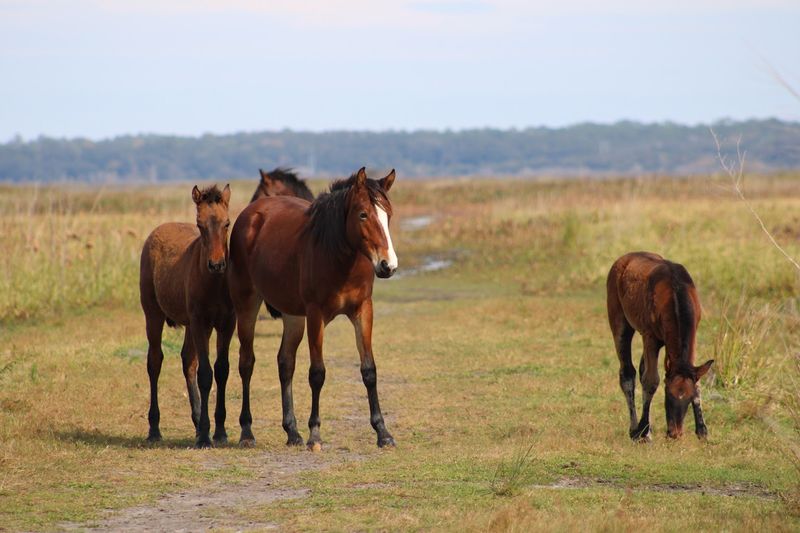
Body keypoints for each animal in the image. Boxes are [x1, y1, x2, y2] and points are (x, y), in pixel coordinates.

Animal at [139, 184, 235, 448]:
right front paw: (204, 437)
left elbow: (221, 370)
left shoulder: (226, 324)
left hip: (191, 326)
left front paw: (219, 432)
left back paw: (196, 420)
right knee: (155, 361)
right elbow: (206, 374)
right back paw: (154, 429)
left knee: (187, 361)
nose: (217, 264)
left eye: (227, 223)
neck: (214, 284)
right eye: (199, 224)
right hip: (153, 314)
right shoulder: (201, 323)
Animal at [228, 167, 398, 449]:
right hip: (247, 305)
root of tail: (251, 213)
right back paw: (247, 432)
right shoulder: (316, 315)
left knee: (285, 362)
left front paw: (383, 433)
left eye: (389, 215)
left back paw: (292, 431)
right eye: (363, 214)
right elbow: (317, 373)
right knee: (246, 363)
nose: (388, 266)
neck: (338, 255)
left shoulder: (363, 311)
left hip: (293, 317)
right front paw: (315, 434)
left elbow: (369, 370)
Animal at [606, 252, 714, 441]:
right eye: (668, 394)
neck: (675, 291)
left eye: (688, 398)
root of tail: (623, 259)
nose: (675, 433)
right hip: (620, 324)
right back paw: (635, 429)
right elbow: (650, 381)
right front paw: (644, 430)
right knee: (627, 373)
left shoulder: (693, 335)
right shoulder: (650, 337)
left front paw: (702, 430)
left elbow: (697, 382)